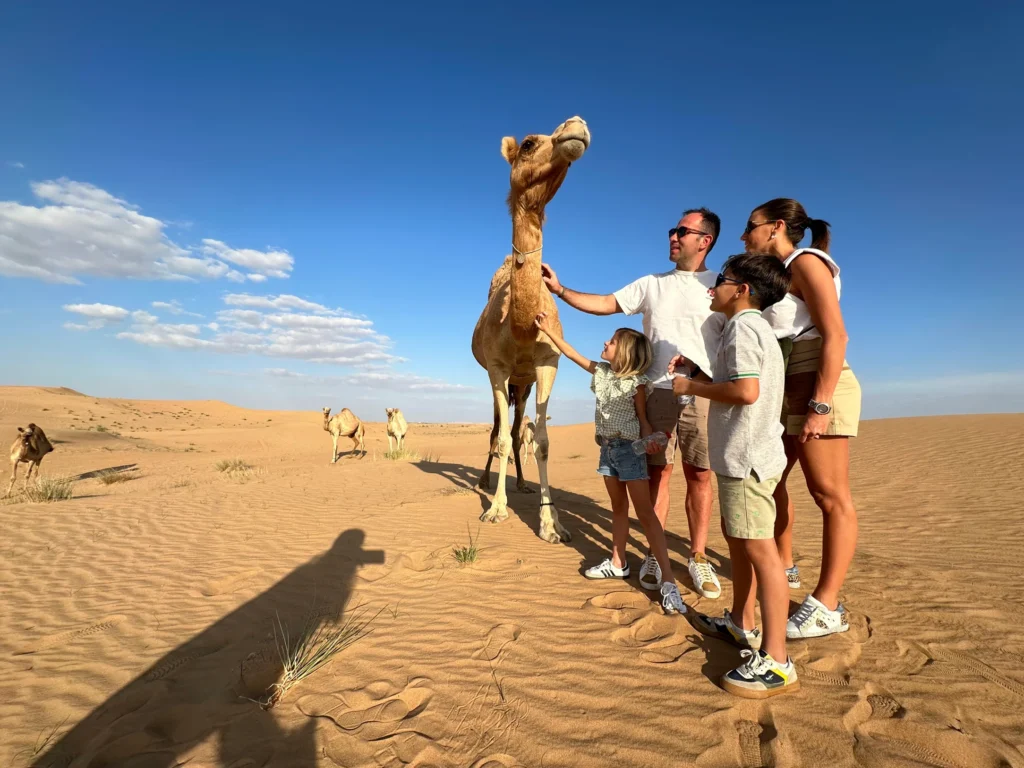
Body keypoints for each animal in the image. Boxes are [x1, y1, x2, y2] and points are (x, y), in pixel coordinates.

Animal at [470, 115, 590, 544]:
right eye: (527, 144)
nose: (577, 126)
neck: (521, 326)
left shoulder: (548, 363)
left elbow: (541, 440)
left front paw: (552, 524)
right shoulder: (497, 367)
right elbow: (505, 439)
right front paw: (496, 510)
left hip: (522, 386)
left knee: (519, 421)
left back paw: (521, 484)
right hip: (503, 382)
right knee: (496, 431)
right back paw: (486, 483)